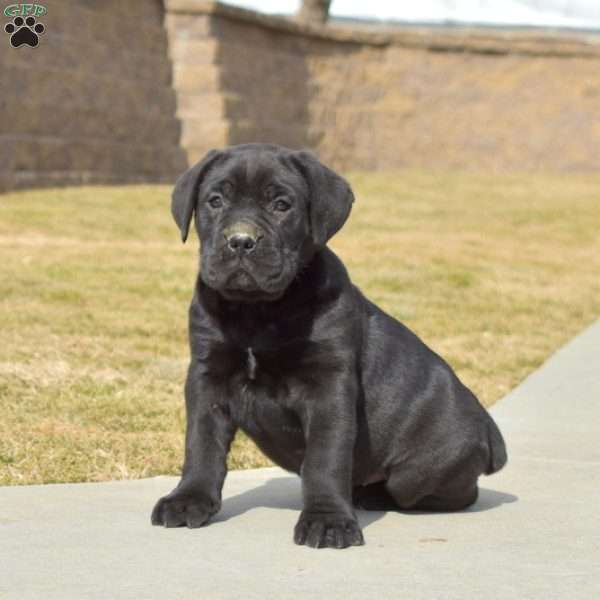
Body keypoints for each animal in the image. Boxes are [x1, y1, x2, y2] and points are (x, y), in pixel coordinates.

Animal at [151, 144, 506, 548]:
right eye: (215, 201)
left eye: (282, 205)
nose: (241, 240)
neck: (257, 311)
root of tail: (488, 429)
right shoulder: (207, 377)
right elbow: (201, 443)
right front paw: (188, 499)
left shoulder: (328, 387)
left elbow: (325, 457)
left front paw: (327, 520)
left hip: (421, 470)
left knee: (449, 491)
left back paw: (374, 495)